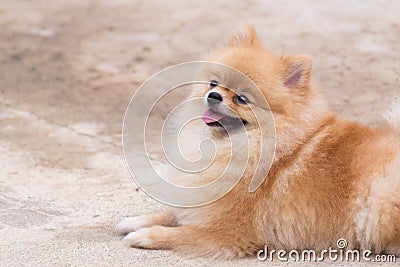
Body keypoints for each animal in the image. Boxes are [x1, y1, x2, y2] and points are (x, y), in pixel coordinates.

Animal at [115, 25, 400, 260]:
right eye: (213, 83)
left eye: (242, 99)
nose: (214, 95)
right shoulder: (204, 198)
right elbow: (173, 211)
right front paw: (135, 220)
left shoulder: (230, 232)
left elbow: (182, 233)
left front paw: (146, 235)